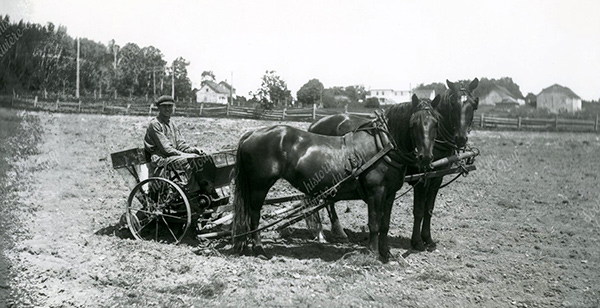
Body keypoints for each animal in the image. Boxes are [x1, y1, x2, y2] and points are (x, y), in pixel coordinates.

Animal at [232, 94, 438, 262]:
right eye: (413, 123)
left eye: (435, 122)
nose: (426, 157)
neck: (382, 146)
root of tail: (252, 133)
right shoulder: (375, 192)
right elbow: (374, 223)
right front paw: (372, 253)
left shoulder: (390, 194)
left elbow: (385, 224)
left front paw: (386, 253)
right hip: (259, 185)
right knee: (254, 215)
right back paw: (259, 249)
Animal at [308, 79, 480, 250]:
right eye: (453, 103)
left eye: (473, 104)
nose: (461, 138)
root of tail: (314, 124)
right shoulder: (422, 180)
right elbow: (419, 210)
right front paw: (417, 241)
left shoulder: (436, 179)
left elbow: (429, 209)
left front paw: (428, 239)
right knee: (323, 200)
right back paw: (327, 233)